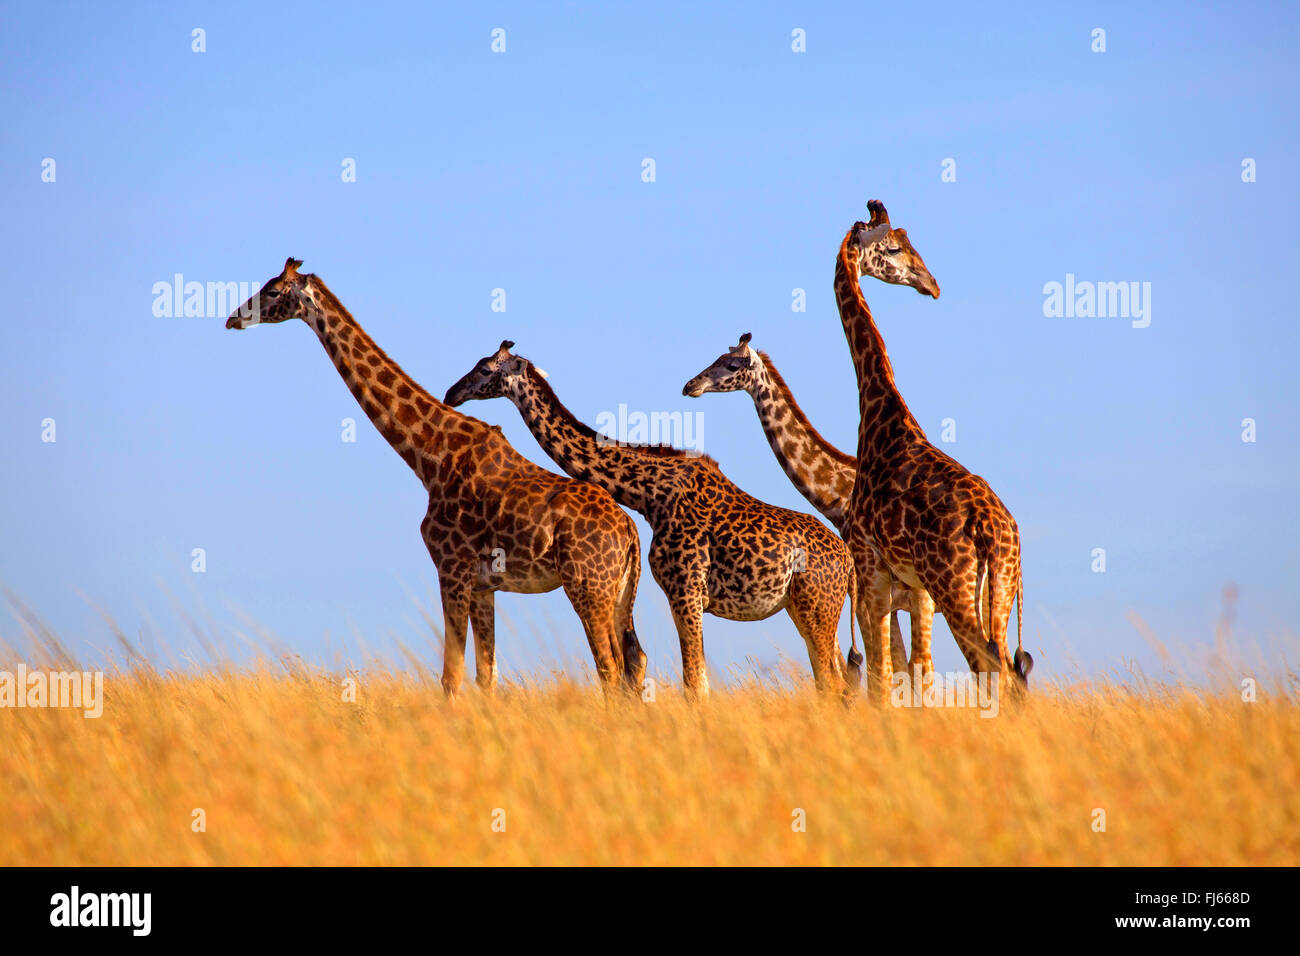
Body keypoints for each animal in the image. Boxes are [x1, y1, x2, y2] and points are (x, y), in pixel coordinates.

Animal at [227, 257, 650, 697]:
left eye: (273, 290)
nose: (232, 317)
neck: (429, 457)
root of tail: (630, 534)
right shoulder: (484, 585)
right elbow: (486, 676)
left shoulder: (451, 568)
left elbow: (451, 676)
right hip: (620, 593)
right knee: (633, 663)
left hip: (587, 586)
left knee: (609, 669)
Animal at [447, 340, 863, 697]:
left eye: (485, 369)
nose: (452, 393)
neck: (650, 495)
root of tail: (847, 563)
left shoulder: (686, 590)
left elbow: (695, 684)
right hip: (808, 609)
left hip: (817, 607)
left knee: (833, 682)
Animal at [832, 204, 1034, 702]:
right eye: (893, 248)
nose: (931, 283)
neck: (879, 412)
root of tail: (991, 529)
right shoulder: (901, 583)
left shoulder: (872, 570)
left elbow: (884, 676)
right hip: (999, 587)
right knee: (1006, 673)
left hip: (954, 587)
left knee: (991, 667)